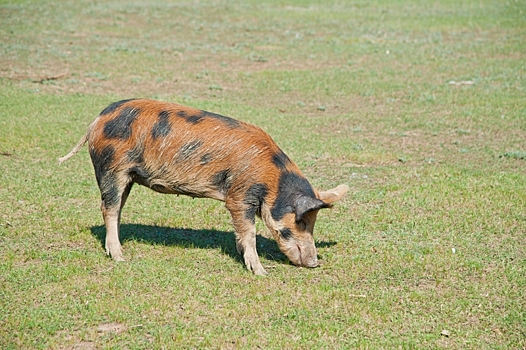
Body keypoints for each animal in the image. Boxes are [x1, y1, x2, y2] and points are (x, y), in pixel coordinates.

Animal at [59, 98, 348, 274]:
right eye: (302, 221)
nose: (313, 263)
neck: (271, 179)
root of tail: (97, 120)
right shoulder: (239, 195)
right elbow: (250, 232)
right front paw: (261, 272)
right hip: (111, 168)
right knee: (108, 208)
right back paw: (120, 257)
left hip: (126, 175)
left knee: (116, 208)